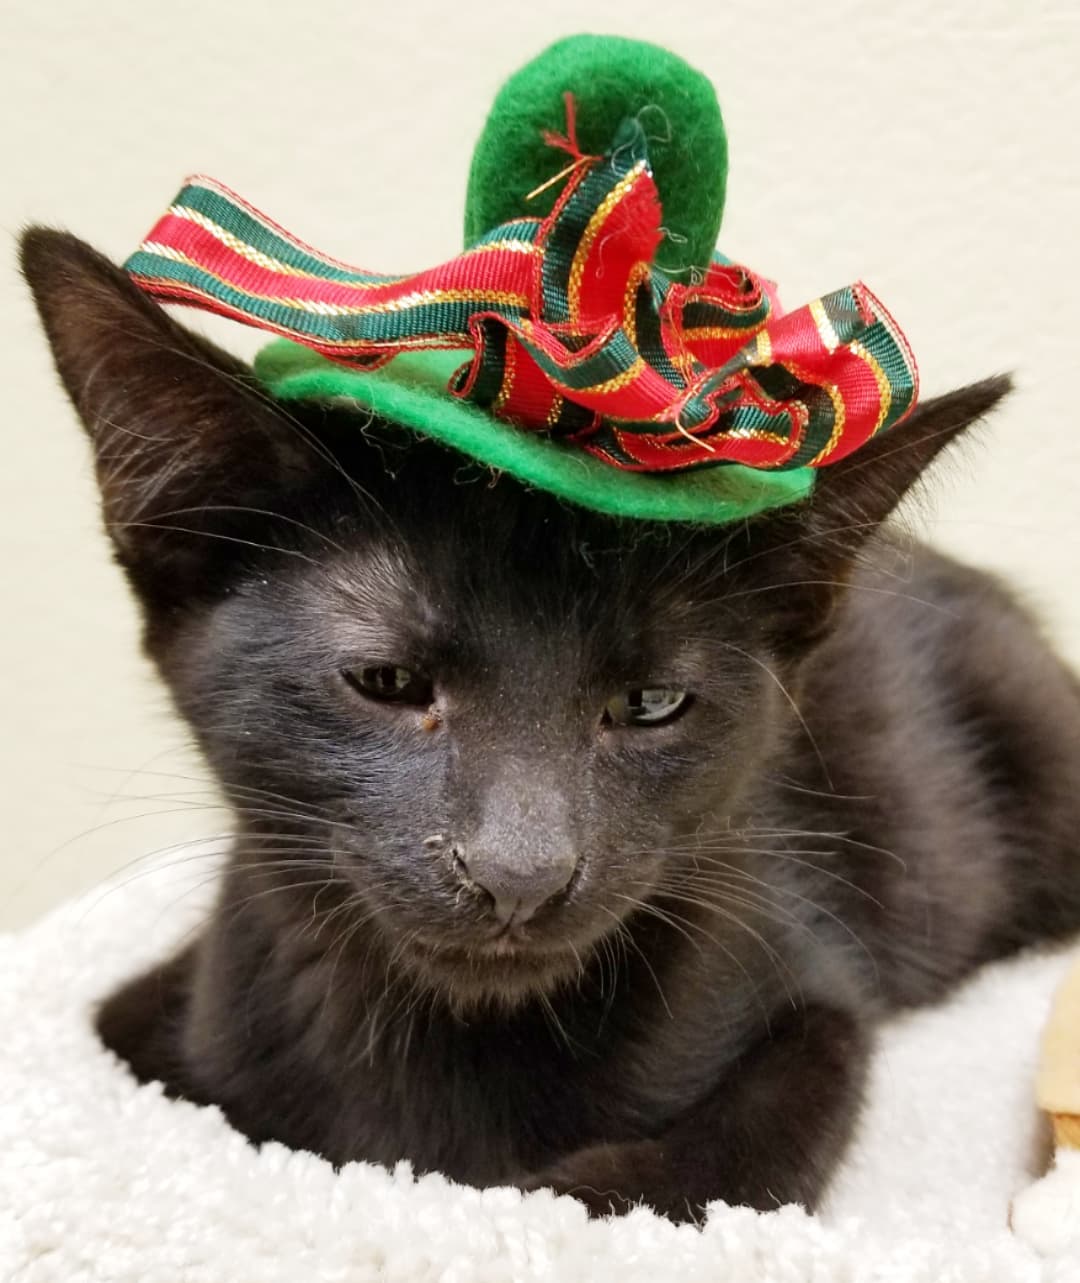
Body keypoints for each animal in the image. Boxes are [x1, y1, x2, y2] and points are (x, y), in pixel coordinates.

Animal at [21, 230, 1077, 1221]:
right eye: (387, 680)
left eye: (651, 703)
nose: (518, 873)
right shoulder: (150, 1025)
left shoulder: (813, 990)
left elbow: (724, 1167)